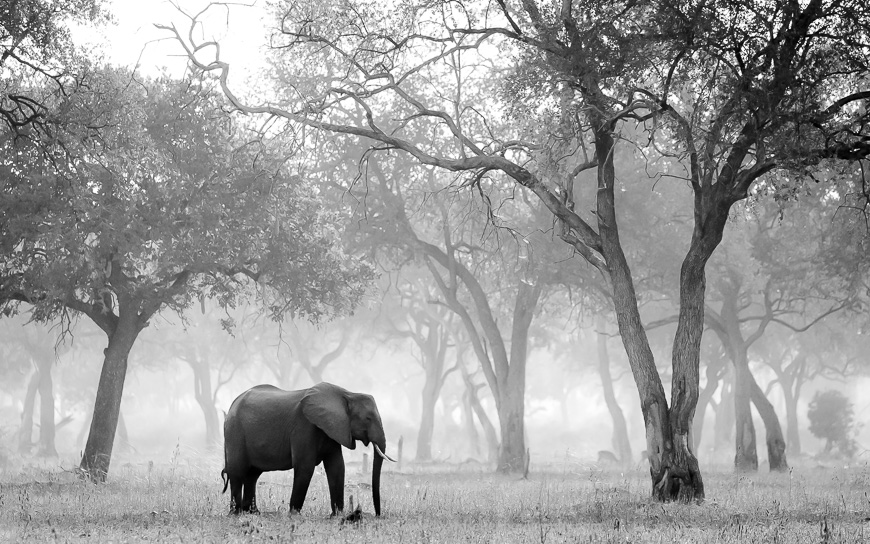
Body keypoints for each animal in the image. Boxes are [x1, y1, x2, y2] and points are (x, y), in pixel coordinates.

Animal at [221, 382, 395, 516]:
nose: (377, 515)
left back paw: (253, 513)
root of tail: (232, 404)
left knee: (252, 475)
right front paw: (294, 515)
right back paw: (236, 514)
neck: (347, 394)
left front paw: (336, 516)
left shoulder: (333, 428)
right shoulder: (304, 426)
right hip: (235, 432)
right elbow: (305, 466)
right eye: (368, 418)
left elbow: (337, 467)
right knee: (238, 471)